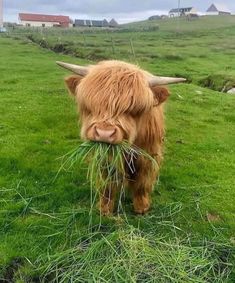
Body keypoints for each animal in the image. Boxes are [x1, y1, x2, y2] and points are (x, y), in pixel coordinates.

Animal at [57, 60, 185, 215]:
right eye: (90, 105)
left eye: (135, 109)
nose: (104, 133)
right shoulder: (105, 159)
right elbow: (107, 184)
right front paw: (104, 208)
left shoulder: (148, 155)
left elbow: (142, 182)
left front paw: (141, 207)